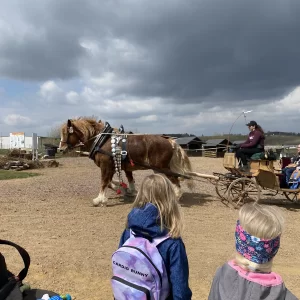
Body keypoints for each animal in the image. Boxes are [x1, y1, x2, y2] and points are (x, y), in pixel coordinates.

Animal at [58, 117, 196, 206]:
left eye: (66, 133)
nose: (60, 148)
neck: (102, 140)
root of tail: (169, 141)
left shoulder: (105, 166)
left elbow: (104, 182)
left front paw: (99, 199)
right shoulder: (113, 166)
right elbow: (113, 182)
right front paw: (124, 189)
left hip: (162, 167)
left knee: (175, 180)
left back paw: (176, 196)